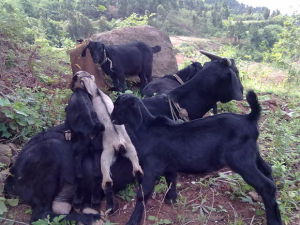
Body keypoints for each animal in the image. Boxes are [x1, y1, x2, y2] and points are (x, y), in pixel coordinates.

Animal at [72, 71, 144, 211]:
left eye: (75, 78)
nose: (71, 87)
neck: (96, 93)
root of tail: (120, 143)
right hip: (132, 151)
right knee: (138, 171)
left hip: (106, 156)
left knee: (107, 182)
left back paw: (110, 207)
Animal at [112, 91, 284, 225]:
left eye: (118, 107)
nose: (112, 118)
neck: (146, 127)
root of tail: (249, 118)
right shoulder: (170, 164)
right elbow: (171, 179)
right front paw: (171, 199)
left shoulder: (151, 167)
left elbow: (143, 194)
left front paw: (133, 220)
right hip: (253, 154)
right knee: (268, 170)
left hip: (241, 160)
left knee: (266, 185)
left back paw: (273, 220)